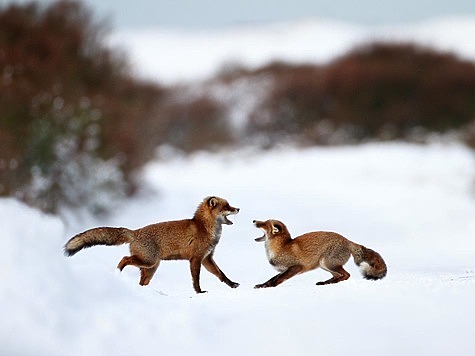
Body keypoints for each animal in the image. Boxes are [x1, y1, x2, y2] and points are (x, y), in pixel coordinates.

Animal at [64, 196, 242, 294]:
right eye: (227, 207)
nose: (238, 208)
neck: (204, 228)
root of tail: (134, 232)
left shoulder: (207, 258)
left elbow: (221, 275)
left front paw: (232, 284)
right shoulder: (196, 259)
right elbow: (196, 279)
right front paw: (199, 292)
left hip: (150, 268)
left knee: (141, 281)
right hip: (148, 262)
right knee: (124, 259)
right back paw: (118, 273)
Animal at [253, 218, 386, 288]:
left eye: (264, 224)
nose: (254, 220)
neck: (280, 248)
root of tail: (347, 240)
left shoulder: (296, 267)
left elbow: (278, 279)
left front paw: (270, 287)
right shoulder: (283, 270)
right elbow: (272, 278)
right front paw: (262, 285)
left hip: (327, 263)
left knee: (346, 275)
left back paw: (331, 283)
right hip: (325, 266)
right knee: (338, 275)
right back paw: (325, 283)